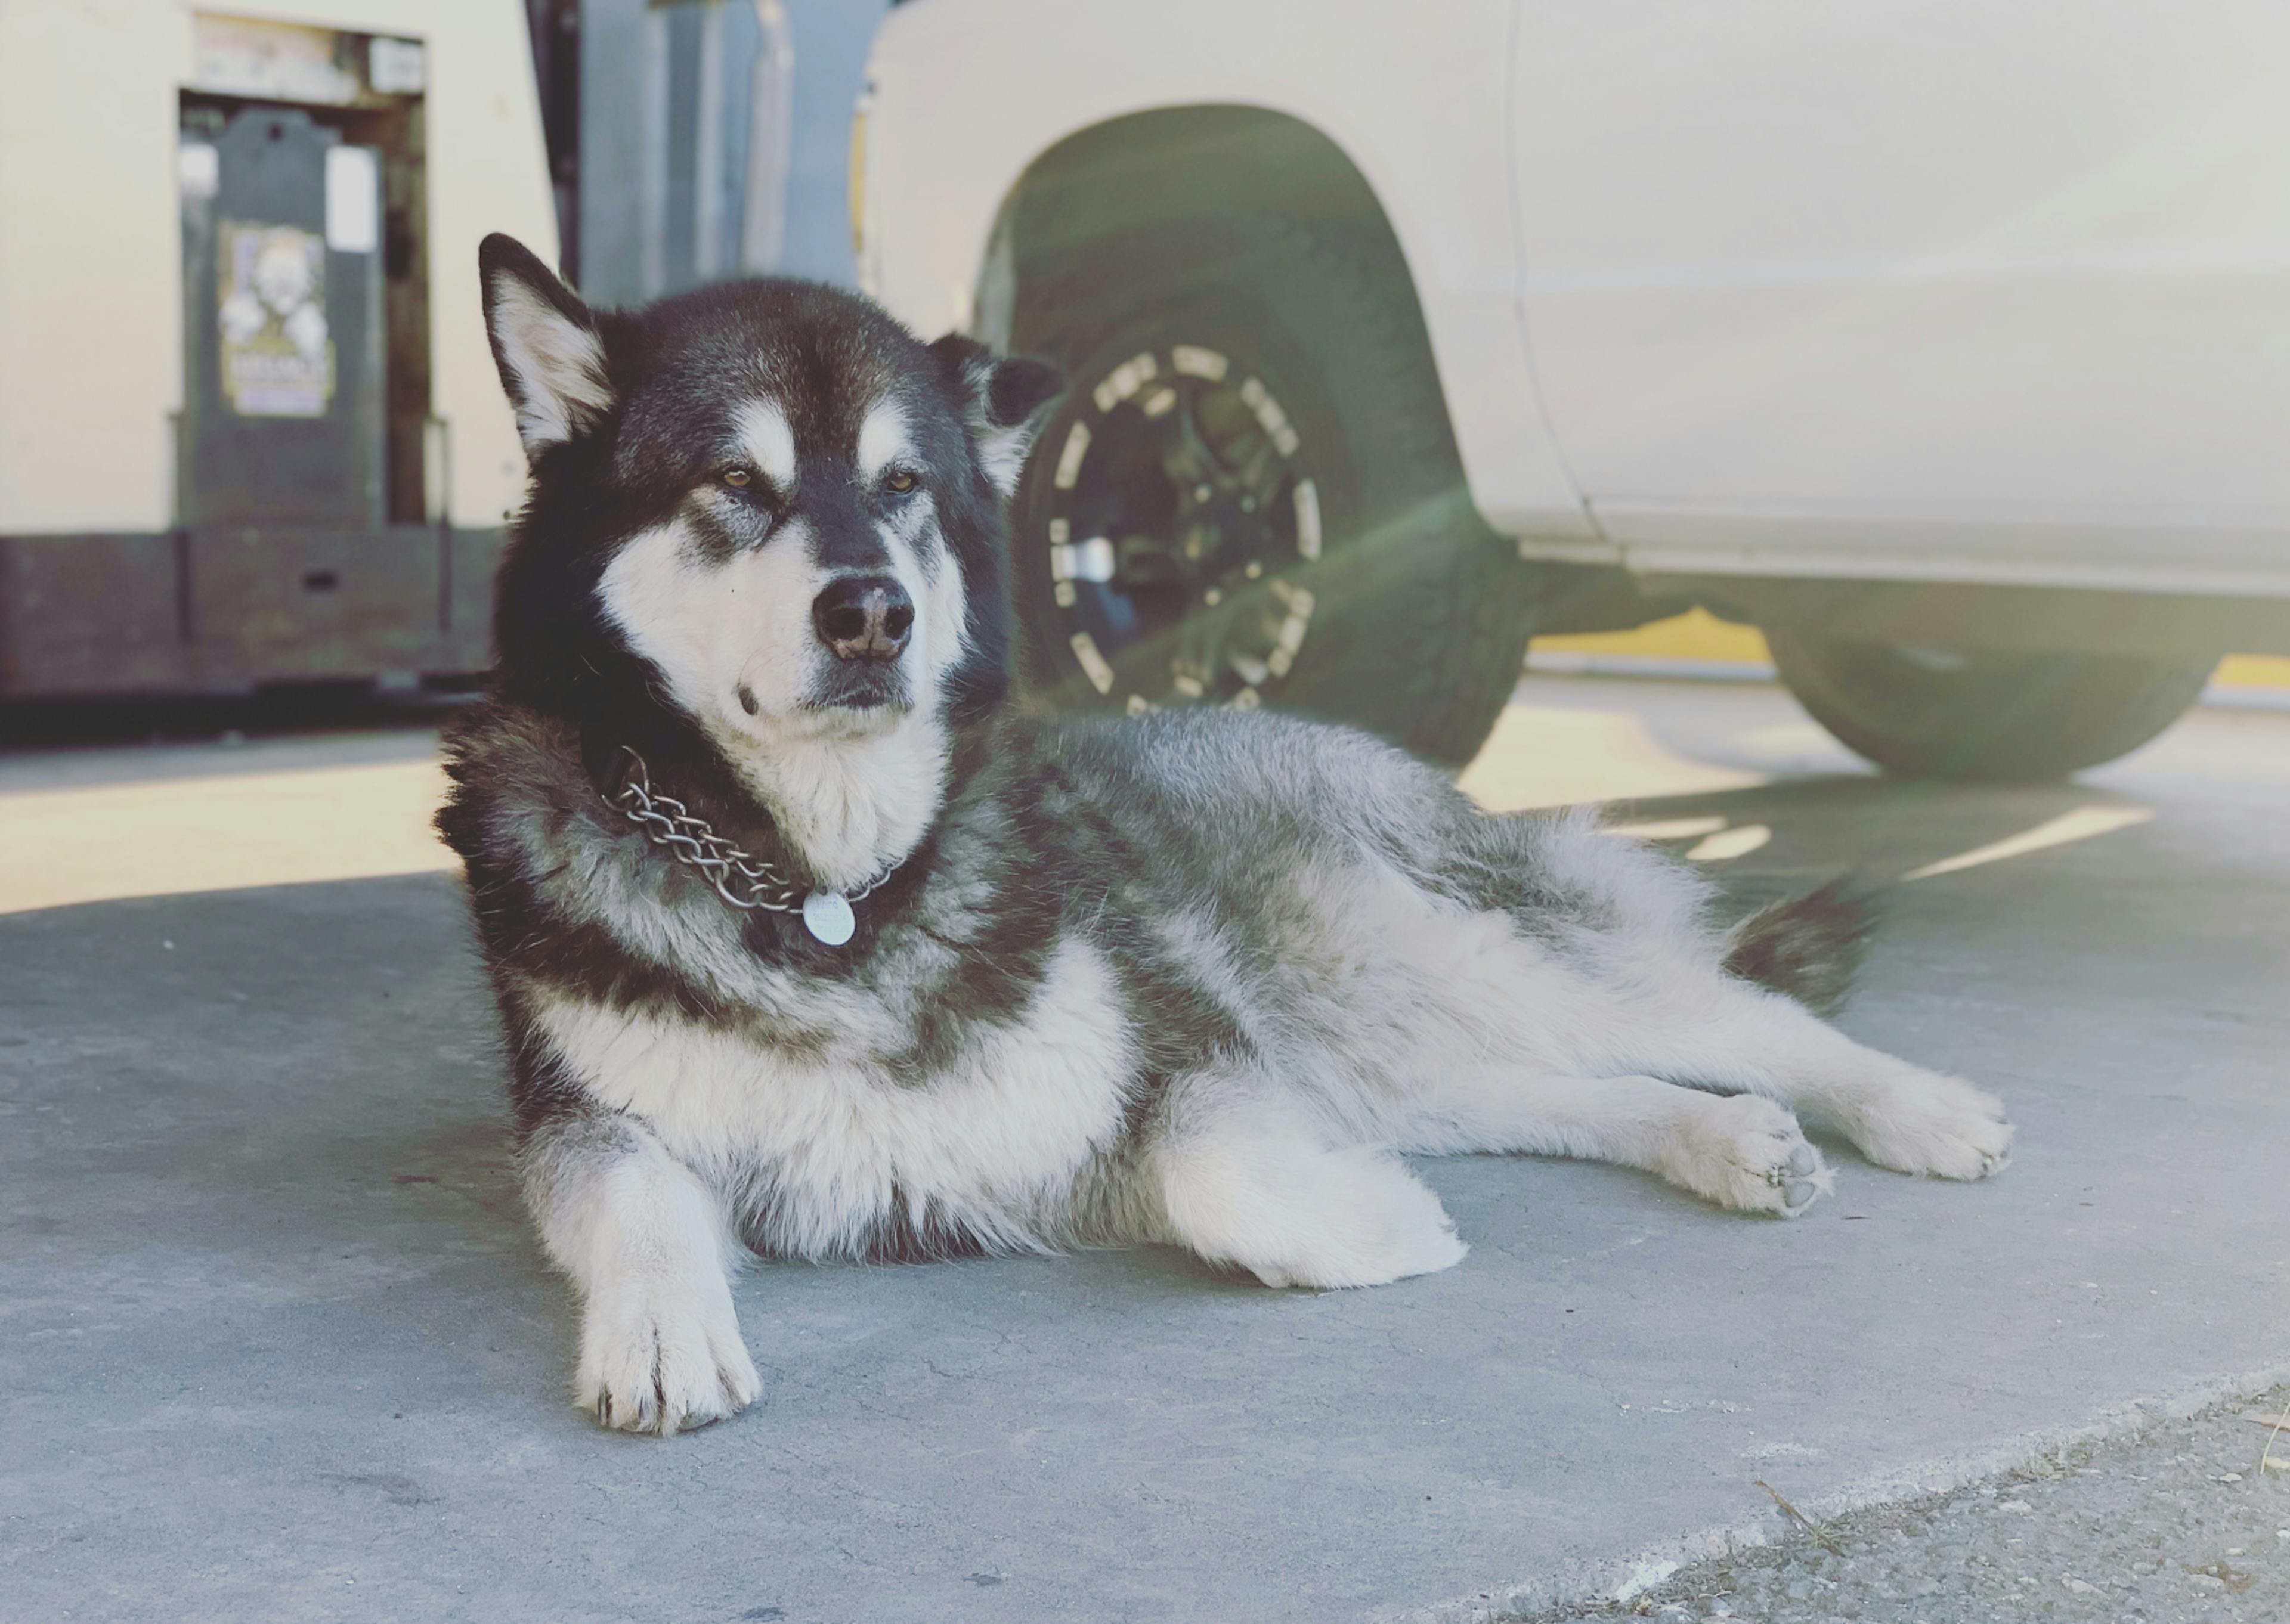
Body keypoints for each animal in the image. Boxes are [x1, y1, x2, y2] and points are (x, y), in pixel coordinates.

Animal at [437, 231, 2015, 1429]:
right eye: (734, 486)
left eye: (903, 489)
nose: (872, 613)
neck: (826, 887)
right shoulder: (592, 1118)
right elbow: (625, 1195)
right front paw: (657, 1328)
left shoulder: (1188, 1048)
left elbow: (1214, 1173)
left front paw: (1372, 1230)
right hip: (1390, 1037)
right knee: (1562, 1084)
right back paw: (1720, 1137)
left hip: (1430, 953)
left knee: (1730, 1013)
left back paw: (1915, 1109)